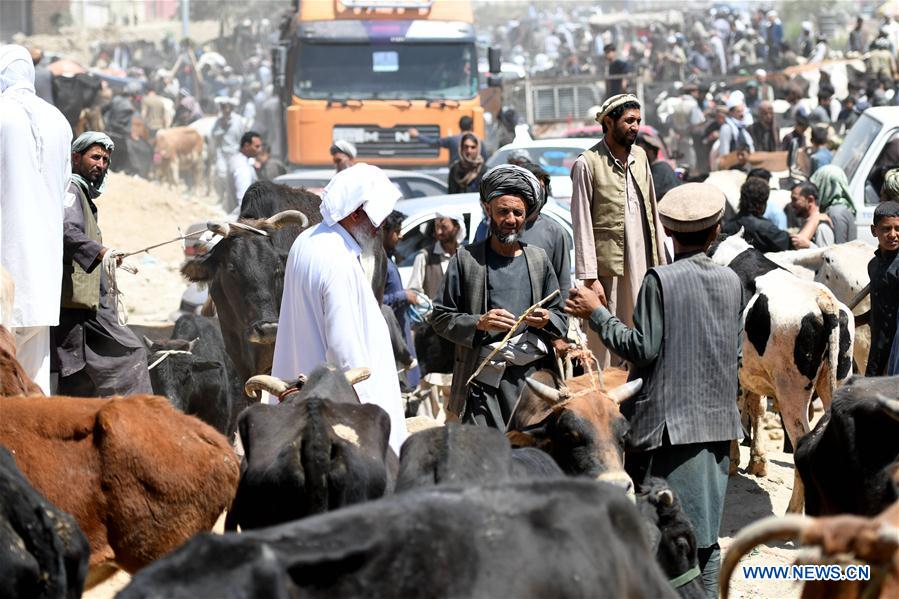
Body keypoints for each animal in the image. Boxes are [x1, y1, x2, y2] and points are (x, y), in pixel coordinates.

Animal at [712, 232, 856, 512]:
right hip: (836, 380)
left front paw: (734, 461)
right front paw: (756, 462)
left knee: (803, 441)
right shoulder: (752, 372)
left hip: (791, 393)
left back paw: (793, 510)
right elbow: (756, 408)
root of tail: (823, 299)